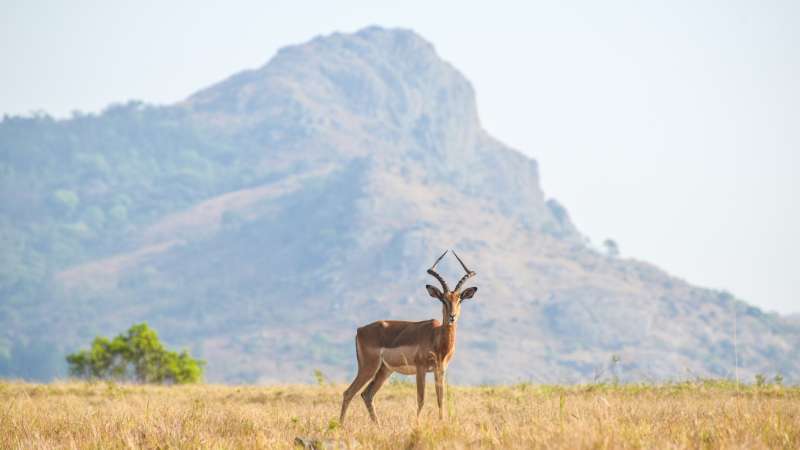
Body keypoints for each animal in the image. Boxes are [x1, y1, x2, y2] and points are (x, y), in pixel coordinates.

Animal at [339, 250, 478, 424]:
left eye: (460, 299)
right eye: (443, 299)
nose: (452, 316)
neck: (437, 338)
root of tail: (360, 330)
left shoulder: (441, 369)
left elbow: (440, 399)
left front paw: (441, 422)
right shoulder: (420, 368)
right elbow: (421, 399)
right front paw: (417, 424)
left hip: (384, 370)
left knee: (367, 395)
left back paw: (377, 425)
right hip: (368, 367)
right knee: (349, 392)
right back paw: (340, 425)